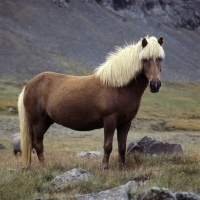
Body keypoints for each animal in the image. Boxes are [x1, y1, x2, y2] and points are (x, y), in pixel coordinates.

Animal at [18, 35, 165, 169]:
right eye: (145, 59)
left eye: (160, 59)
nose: (155, 85)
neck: (118, 86)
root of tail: (28, 85)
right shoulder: (110, 120)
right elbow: (108, 146)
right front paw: (104, 168)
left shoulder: (125, 123)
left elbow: (122, 147)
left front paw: (121, 168)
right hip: (38, 122)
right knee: (38, 144)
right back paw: (44, 167)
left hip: (46, 121)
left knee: (33, 143)